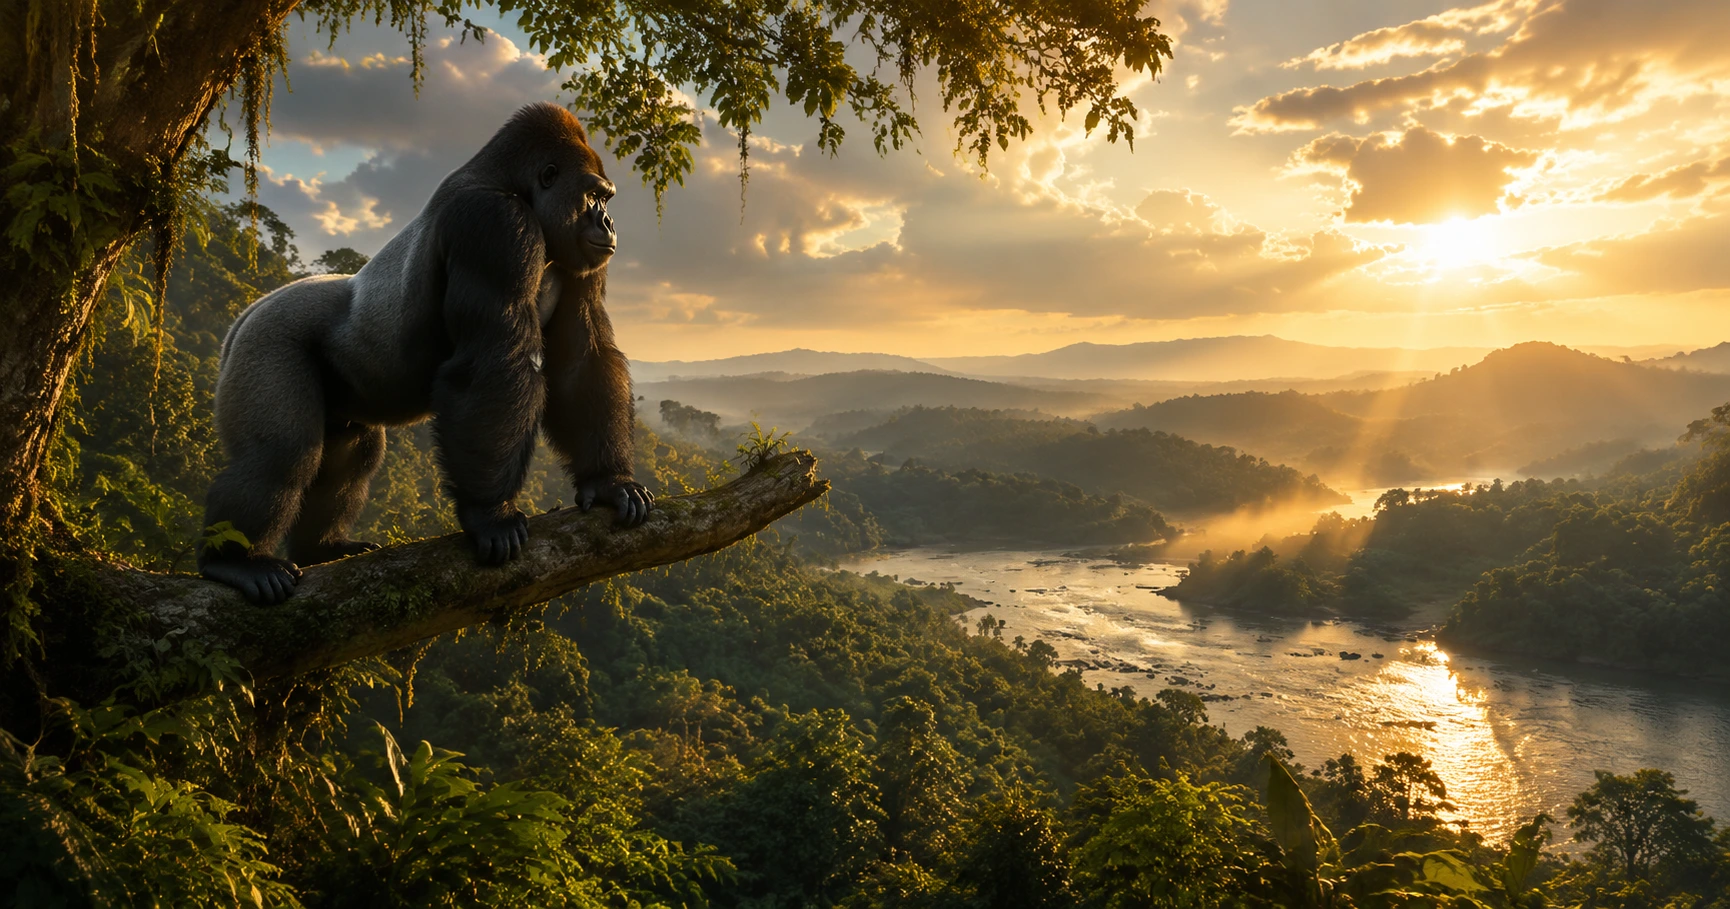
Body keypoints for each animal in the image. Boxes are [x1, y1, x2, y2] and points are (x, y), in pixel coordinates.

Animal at [198, 102, 653, 604]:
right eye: (594, 197)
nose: (608, 224)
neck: (513, 183)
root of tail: (247, 313)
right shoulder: (494, 223)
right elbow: (494, 362)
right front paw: (489, 513)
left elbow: (582, 361)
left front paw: (609, 481)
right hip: (267, 340)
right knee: (280, 456)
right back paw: (234, 561)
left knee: (351, 452)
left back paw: (321, 548)